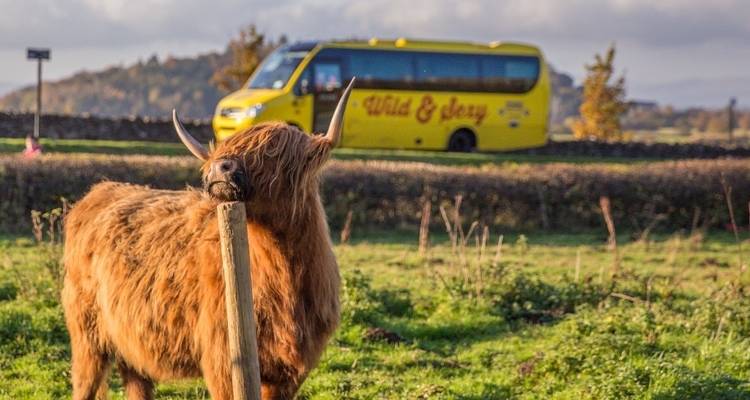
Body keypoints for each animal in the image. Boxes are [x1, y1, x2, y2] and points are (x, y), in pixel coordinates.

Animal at [62, 79, 355, 400]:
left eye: (274, 152)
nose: (220, 167)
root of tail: (102, 190)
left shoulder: (291, 370)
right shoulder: (223, 362)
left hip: (131, 342)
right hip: (87, 337)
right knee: (84, 382)